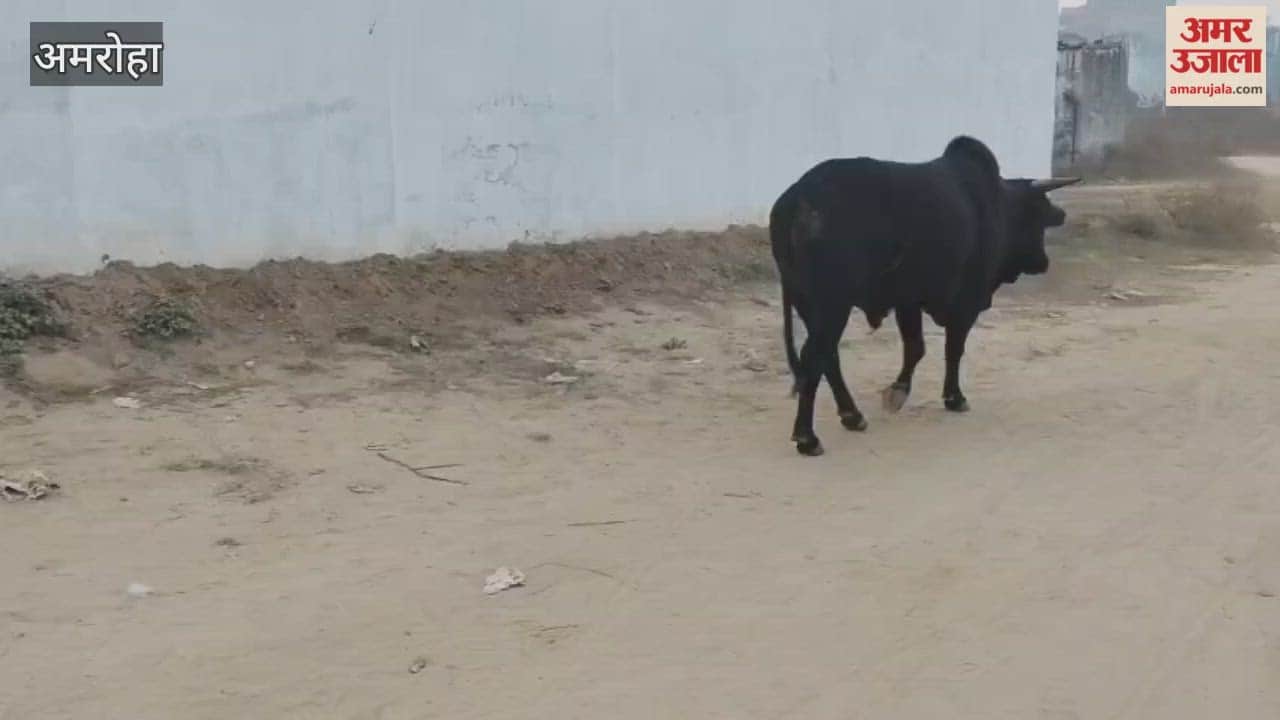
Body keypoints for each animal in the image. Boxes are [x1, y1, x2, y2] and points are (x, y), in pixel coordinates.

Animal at [770, 135, 1080, 456]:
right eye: (1038, 219)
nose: (1043, 262)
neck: (996, 204)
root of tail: (798, 199)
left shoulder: (908, 300)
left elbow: (915, 347)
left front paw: (898, 392)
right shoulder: (965, 303)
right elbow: (952, 349)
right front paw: (954, 398)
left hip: (810, 304)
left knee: (827, 356)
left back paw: (852, 415)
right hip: (832, 305)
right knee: (814, 356)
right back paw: (807, 437)